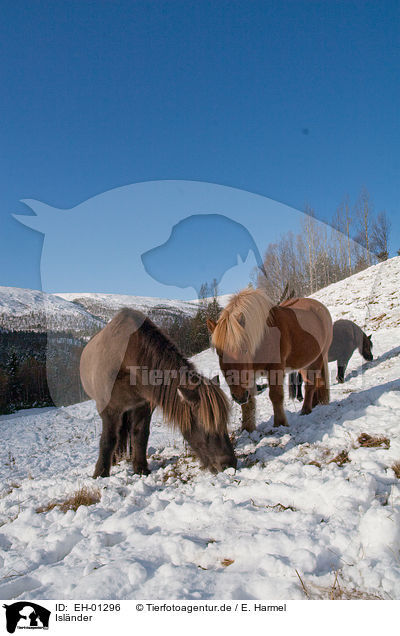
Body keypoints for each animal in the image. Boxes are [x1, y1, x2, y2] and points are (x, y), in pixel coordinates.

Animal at [81, 308, 238, 476]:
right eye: (205, 424)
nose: (229, 464)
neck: (127, 359)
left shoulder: (143, 406)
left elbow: (140, 435)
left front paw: (141, 468)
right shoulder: (109, 409)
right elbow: (108, 440)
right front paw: (100, 473)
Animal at [208, 290, 332, 430]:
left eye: (244, 350)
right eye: (219, 354)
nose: (239, 396)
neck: (263, 337)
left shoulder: (275, 369)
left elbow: (275, 396)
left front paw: (280, 423)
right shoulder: (249, 375)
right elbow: (249, 403)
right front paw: (247, 428)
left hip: (318, 358)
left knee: (311, 384)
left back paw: (306, 410)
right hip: (305, 363)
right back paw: (314, 405)